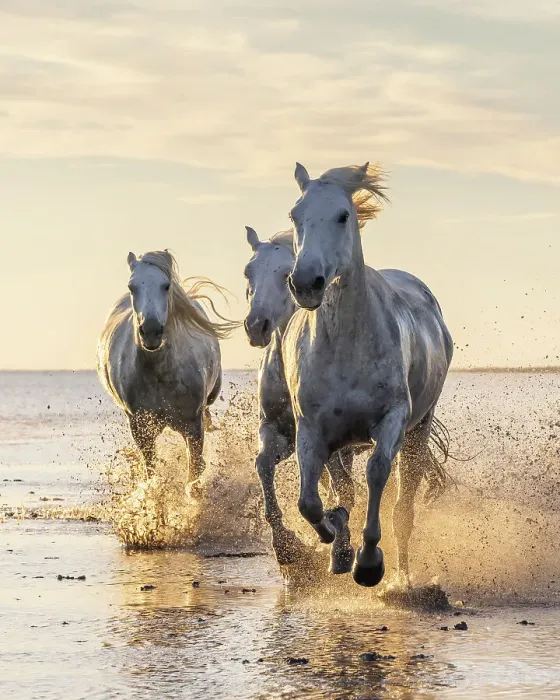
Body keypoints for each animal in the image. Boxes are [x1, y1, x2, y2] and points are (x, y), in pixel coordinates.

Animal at [97, 249, 237, 498]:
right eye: (132, 286)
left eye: (166, 285)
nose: (151, 331)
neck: (159, 374)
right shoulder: (140, 427)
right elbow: (152, 472)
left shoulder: (193, 425)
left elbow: (194, 473)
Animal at [243, 226, 355, 572]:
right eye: (248, 272)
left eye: (285, 275)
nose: (256, 325)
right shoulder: (278, 431)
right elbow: (263, 465)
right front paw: (286, 546)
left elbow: (342, 487)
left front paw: (341, 549)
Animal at [282, 162, 453, 588]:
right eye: (295, 215)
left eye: (343, 216)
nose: (305, 283)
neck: (346, 347)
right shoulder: (312, 429)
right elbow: (311, 500)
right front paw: (334, 533)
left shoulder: (392, 420)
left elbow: (377, 474)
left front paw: (370, 561)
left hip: (419, 430)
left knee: (404, 507)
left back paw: (402, 578)